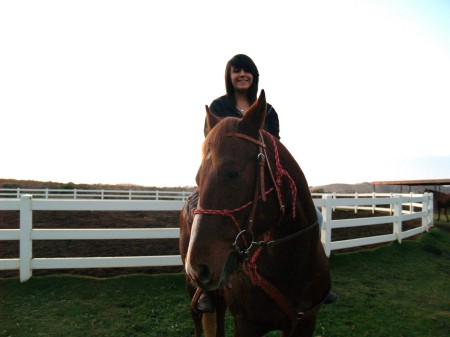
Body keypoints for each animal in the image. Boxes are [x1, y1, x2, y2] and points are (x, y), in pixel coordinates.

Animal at [178, 89, 330, 336]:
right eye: (197, 177)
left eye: (232, 173)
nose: (197, 267)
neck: (292, 266)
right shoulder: (247, 325)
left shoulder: (305, 322)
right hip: (194, 293)